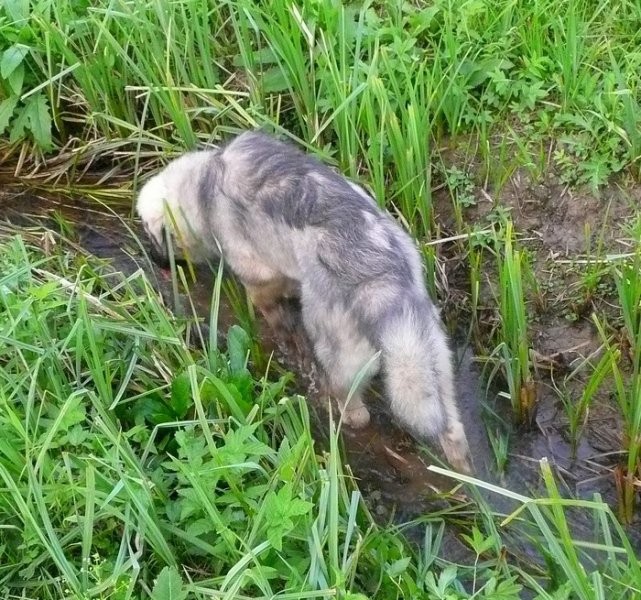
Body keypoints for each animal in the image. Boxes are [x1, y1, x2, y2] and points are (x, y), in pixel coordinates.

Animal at [138, 131, 472, 474]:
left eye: (153, 237)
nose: (152, 259)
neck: (204, 178)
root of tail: (385, 276)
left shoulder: (260, 278)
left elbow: (274, 313)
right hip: (431, 360)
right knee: (451, 427)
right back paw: (463, 470)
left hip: (342, 357)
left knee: (353, 406)